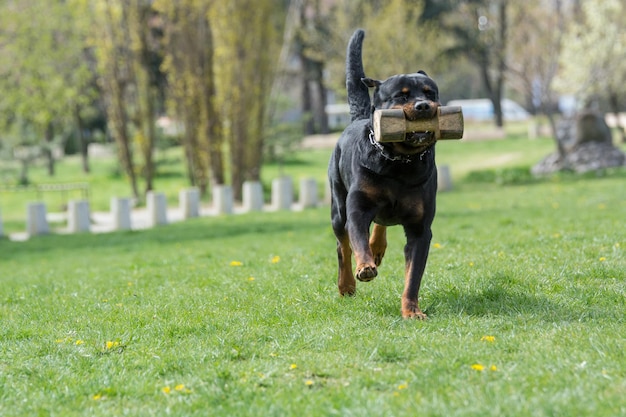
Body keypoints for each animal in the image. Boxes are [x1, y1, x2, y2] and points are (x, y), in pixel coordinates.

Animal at [326, 29, 438, 316]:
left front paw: (412, 310)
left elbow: (413, 276)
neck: (400, 162)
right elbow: (357, 240)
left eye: (431, 93)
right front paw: (365, 266)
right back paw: (347, 284)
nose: (424, 106)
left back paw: (377, 246)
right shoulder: (357, 209)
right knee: (342, 245)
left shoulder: (421, 229)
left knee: (381, 221)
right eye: (401, 96)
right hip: (337, 206)